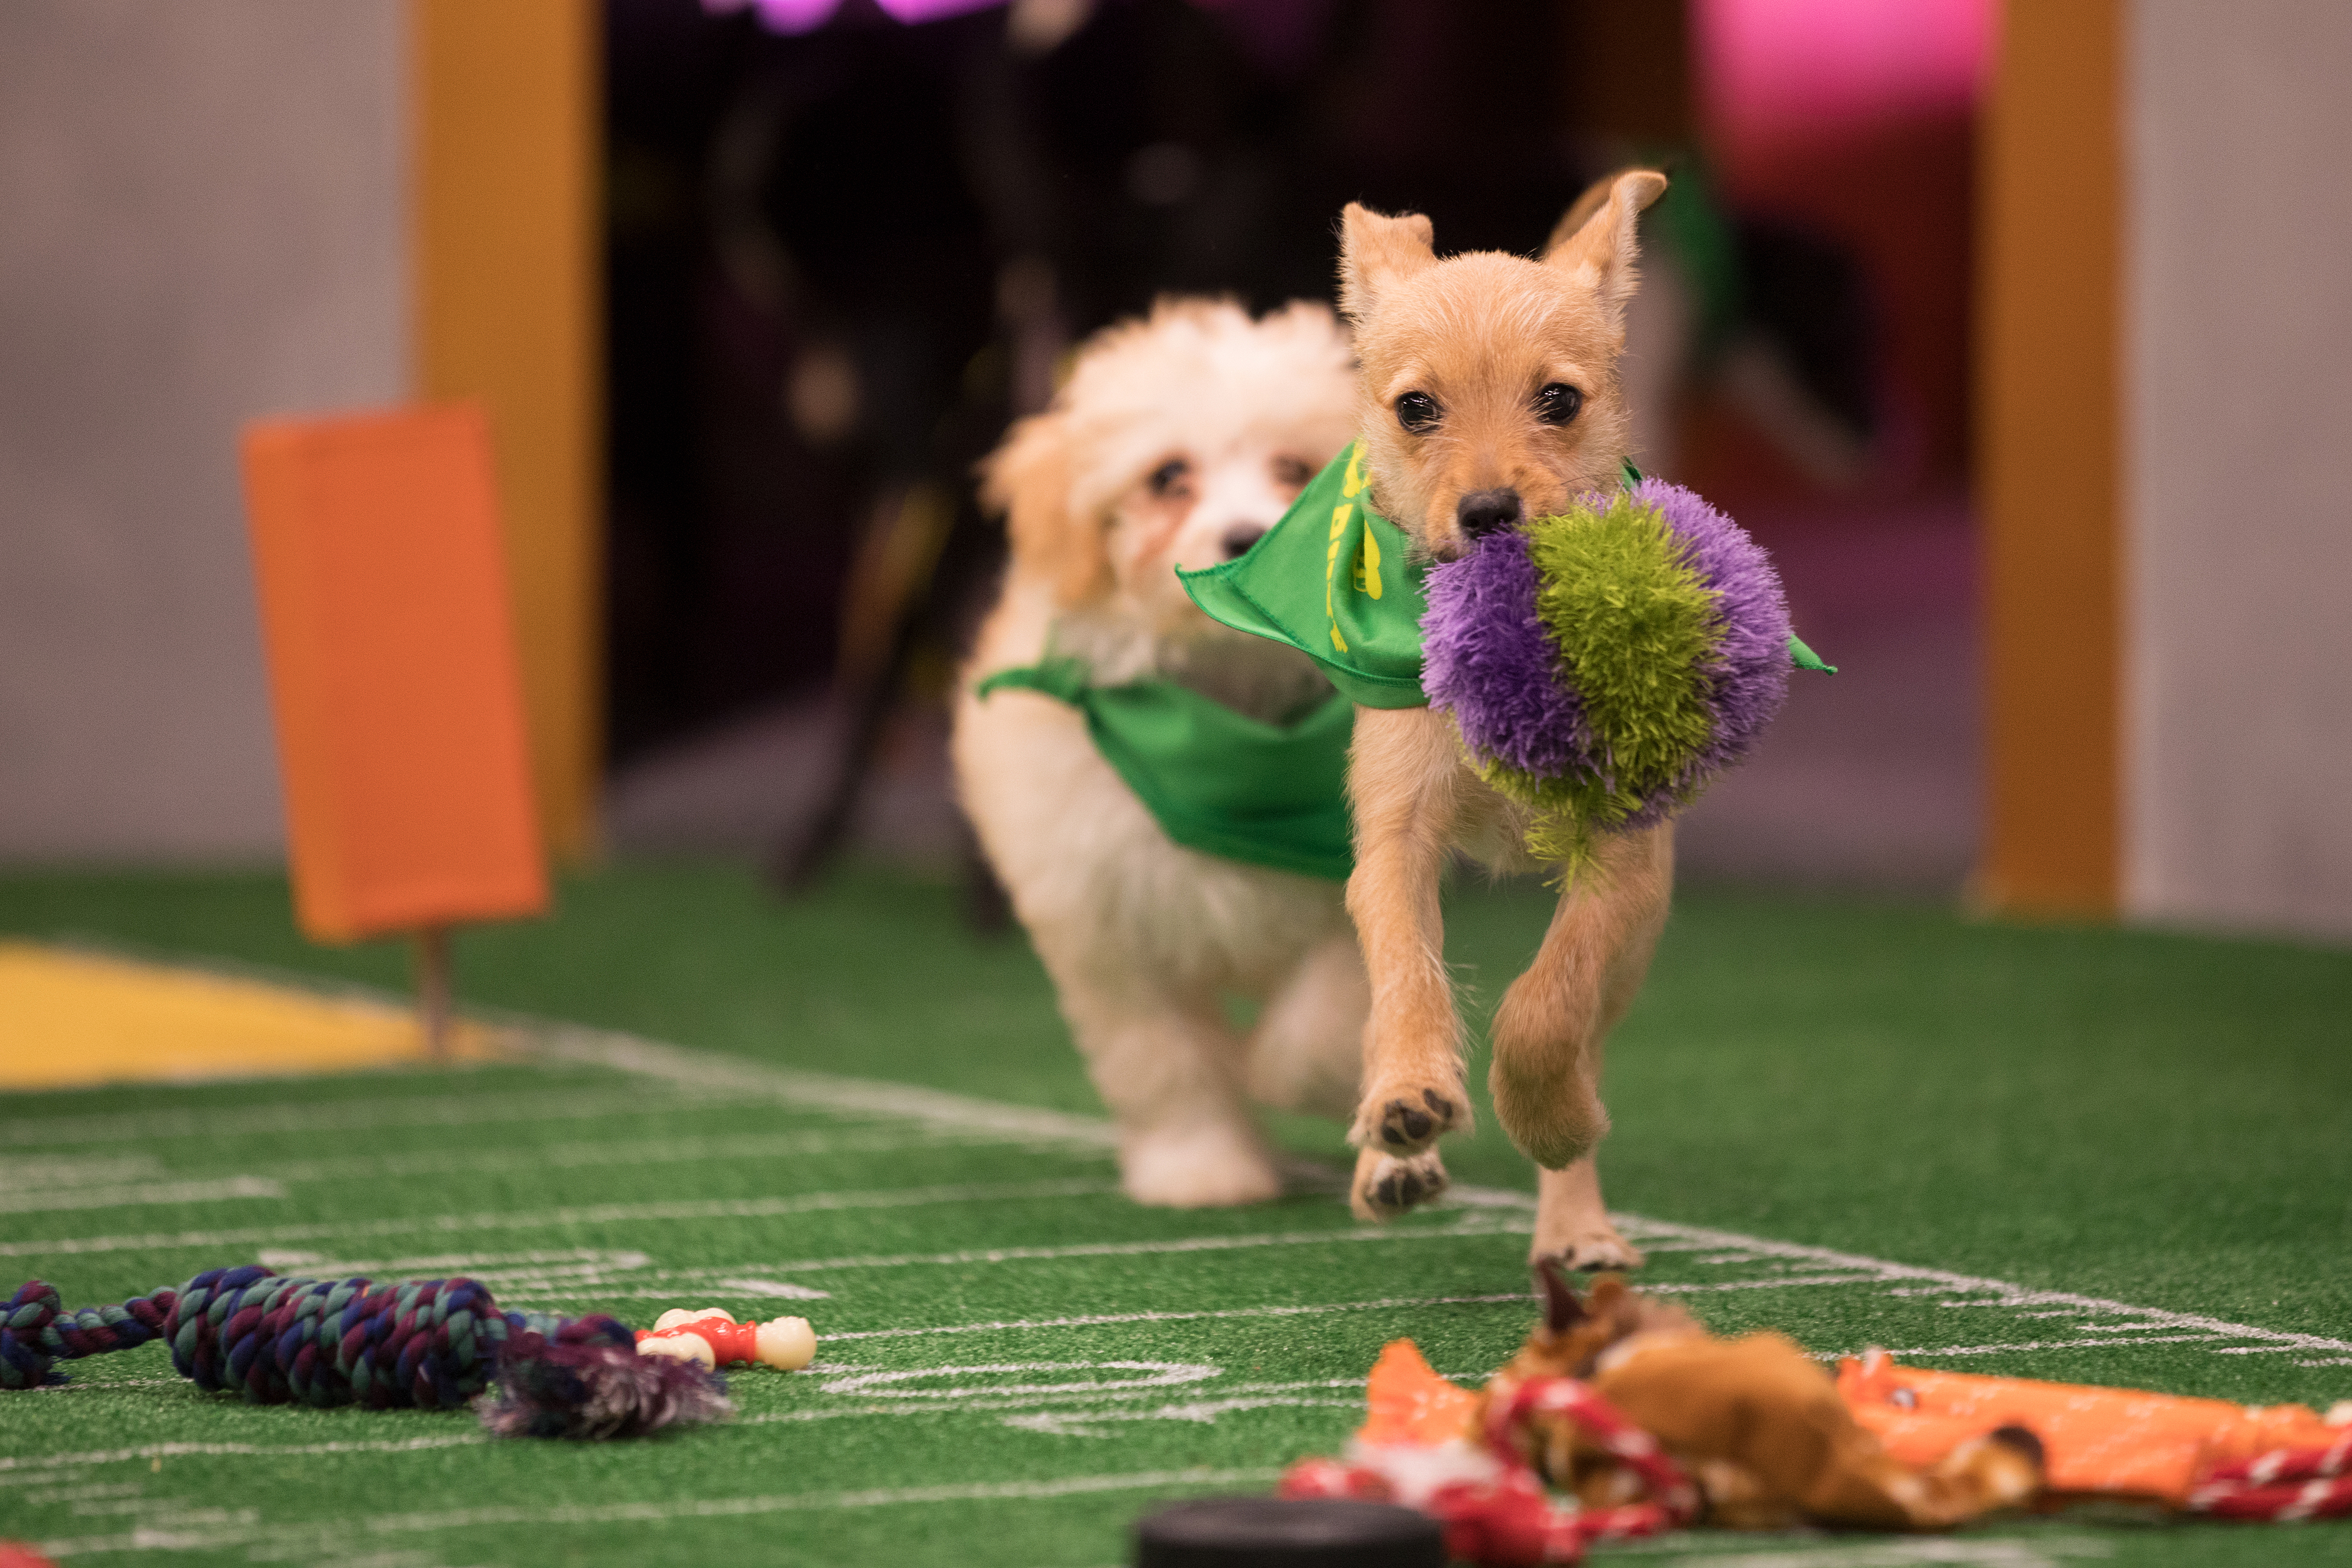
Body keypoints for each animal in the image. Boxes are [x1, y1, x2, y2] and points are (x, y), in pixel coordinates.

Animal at [950, 297, 1364, 1213]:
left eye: (1295, 468)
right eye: (1168, 476)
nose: (1245, 538)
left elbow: (1327, 1018)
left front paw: (1295, 1076)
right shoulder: (1110, 922)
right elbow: (1166, 1060)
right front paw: (1201, 1167)